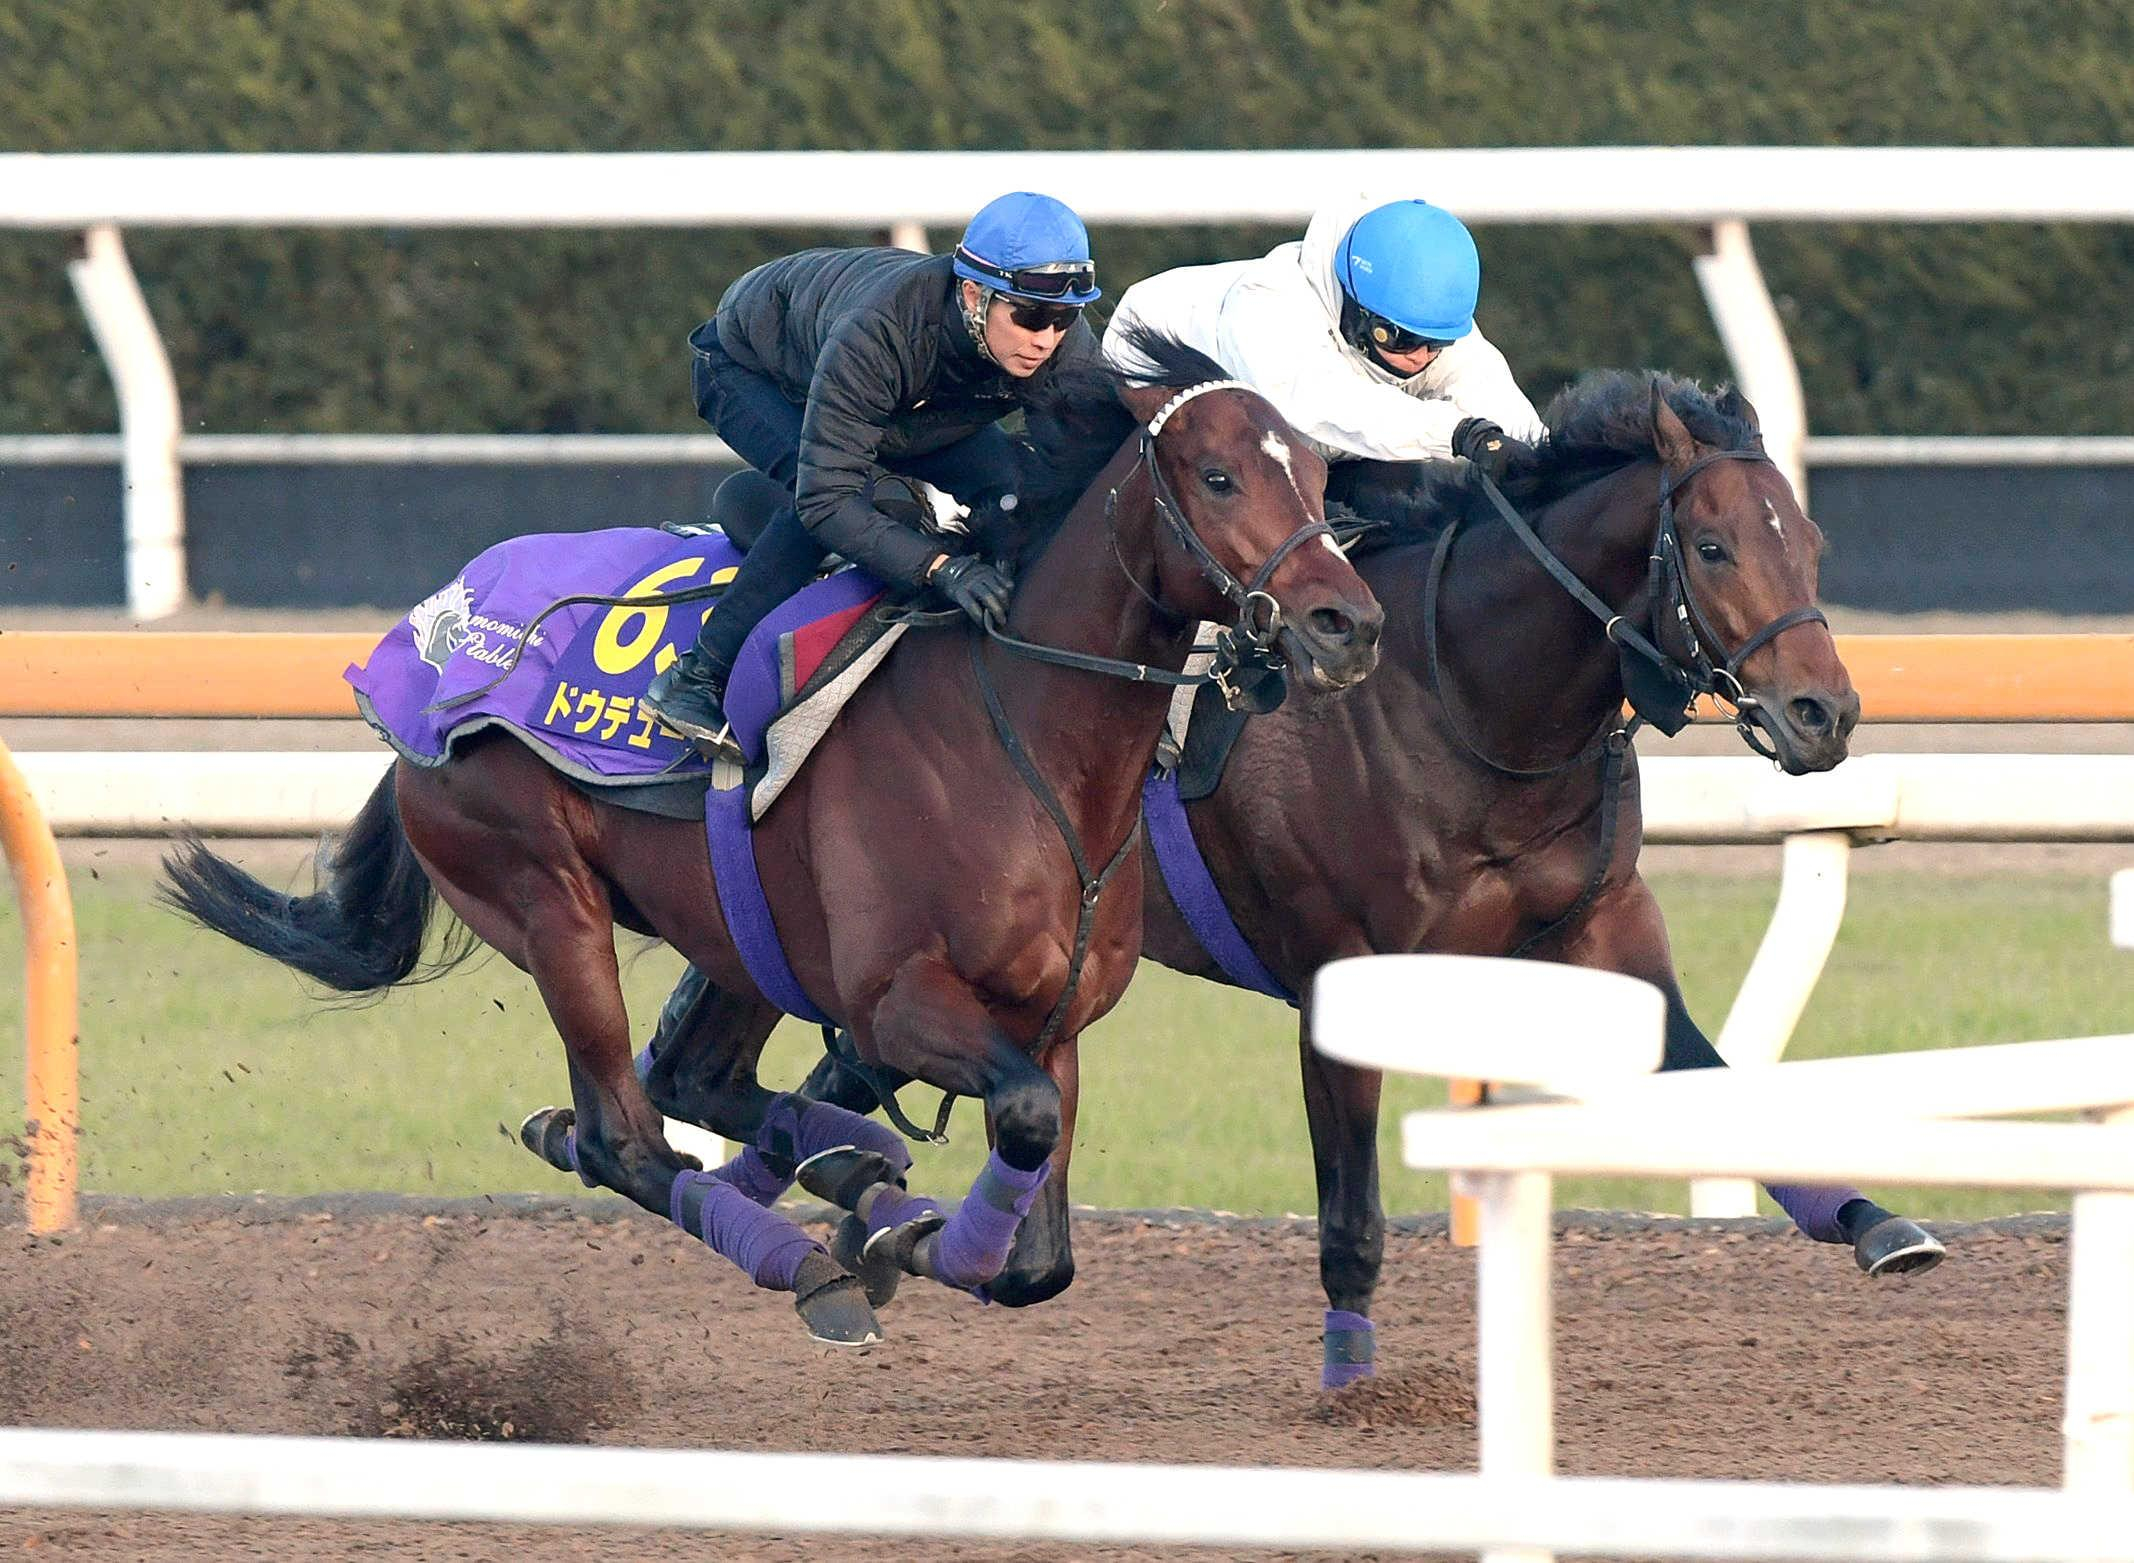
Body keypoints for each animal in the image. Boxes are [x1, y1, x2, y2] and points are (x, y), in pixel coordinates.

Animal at [157, 339, 1374, 1340]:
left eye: (1321, 479)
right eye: (1217, 476)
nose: (1346, 624)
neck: (1026, 736)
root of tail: (426, 643)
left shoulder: (1055, 1023)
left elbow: (1039, 1257)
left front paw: (895, 1222)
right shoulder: (898, 1000)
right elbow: (1013, 1130)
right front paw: (883, 1236)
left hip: (735, 932)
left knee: (692, 1083)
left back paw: (845, 1168)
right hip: (544, 896)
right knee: (625, 1137)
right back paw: (804, 1256)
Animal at [802, 371, 1954, 1375]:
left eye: (1810, 542)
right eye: (1711, 546)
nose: (1824, 713)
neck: (1468, 701)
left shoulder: (1601, 927)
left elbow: (1717, 1081)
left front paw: (1876, 1221)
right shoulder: (1338, 973)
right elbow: (1350, 1217)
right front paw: (1352, 1384)